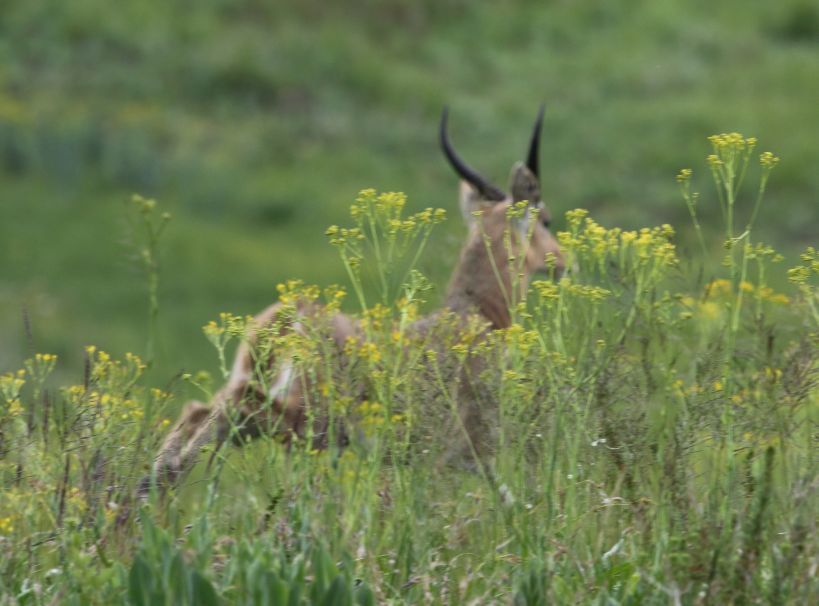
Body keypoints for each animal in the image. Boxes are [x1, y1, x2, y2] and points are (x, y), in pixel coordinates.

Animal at [141, 108, 564, 498]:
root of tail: (289, 316)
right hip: (307, 421)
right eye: (545, 218)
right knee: (227, 411)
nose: (563, 261)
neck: (477, 316)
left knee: (199, 410)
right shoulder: (462, 454)